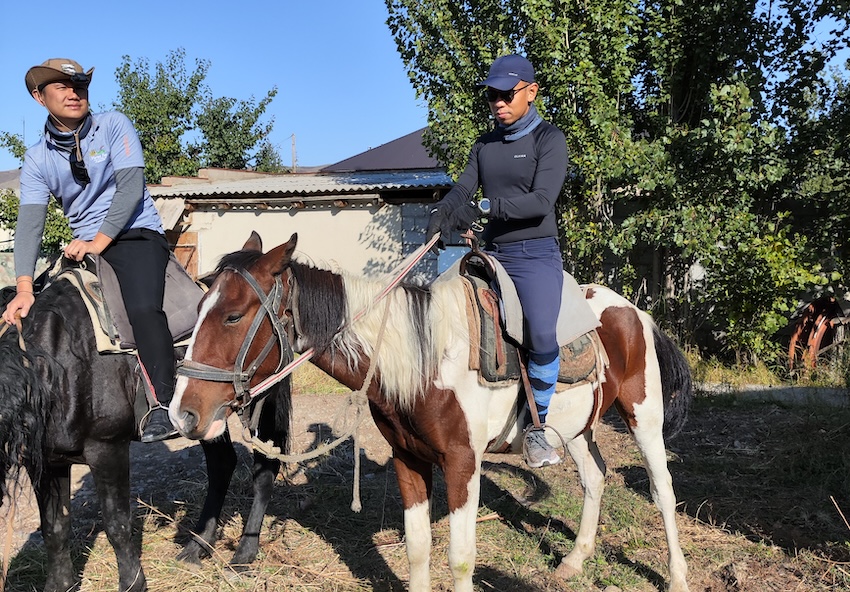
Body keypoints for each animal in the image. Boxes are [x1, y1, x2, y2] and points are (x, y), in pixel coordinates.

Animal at [0, 270, 292, 588]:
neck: (59, 366)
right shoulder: (45, 461)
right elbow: (54, 528)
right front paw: (61, 585)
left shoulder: (107, 449)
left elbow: (117, 524)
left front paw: (133, 583)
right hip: (207, 418)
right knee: (222, 464)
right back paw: (196, 547)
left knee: (265, 468)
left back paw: (243, 554)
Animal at [169, 234, 692, 592]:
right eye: (200, 308)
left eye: (233, 315)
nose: (182, 414)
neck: (422, 358)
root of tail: (633, 311)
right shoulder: (409, 458)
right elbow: (418, 550)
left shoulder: (462, 463)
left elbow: (460, 558)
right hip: (577, 430)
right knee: (596, 478)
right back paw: (574, 561)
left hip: (643, 418)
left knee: (663, 490)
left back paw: (676, 575)